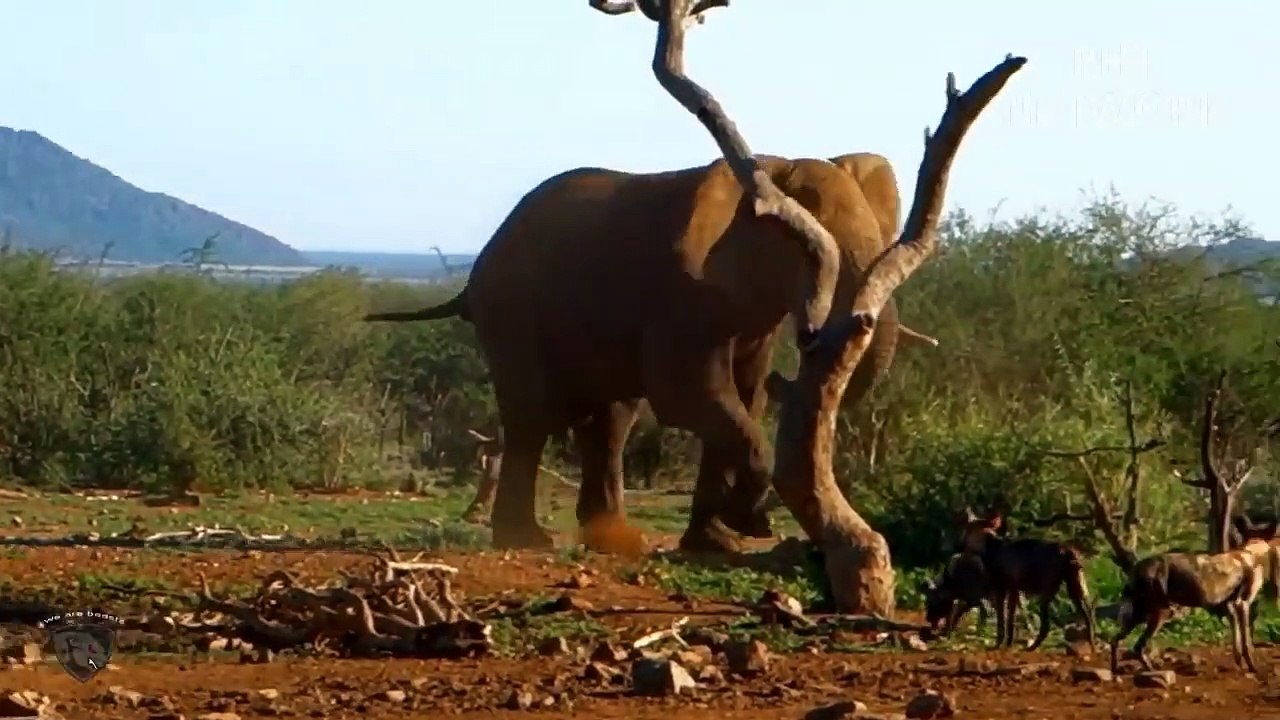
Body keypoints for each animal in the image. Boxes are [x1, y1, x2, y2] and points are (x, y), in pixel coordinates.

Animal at [364, 152, 934, 554]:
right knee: (533, 415)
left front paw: (720, 541)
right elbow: (690, 394)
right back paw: (528, 541)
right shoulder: (682, 291)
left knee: (611, 420)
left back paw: (613, 539)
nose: (812, 340)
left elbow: (743, 396)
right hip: (511, 308)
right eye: (817, 248)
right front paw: (749, 521)